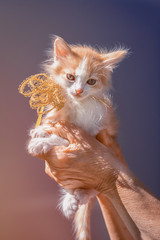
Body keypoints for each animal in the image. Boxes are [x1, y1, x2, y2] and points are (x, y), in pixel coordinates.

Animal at [27, 37, 127, 240]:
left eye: (91, 81)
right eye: (70, 77)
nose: (79, 91)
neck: (77, 105)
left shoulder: (95, 133)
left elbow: (64, 140)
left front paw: (42, 142)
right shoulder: (59, 115)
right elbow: (53, 124)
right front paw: (40, 131)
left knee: (92, 188)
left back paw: (77, 196)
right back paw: (72, 199)